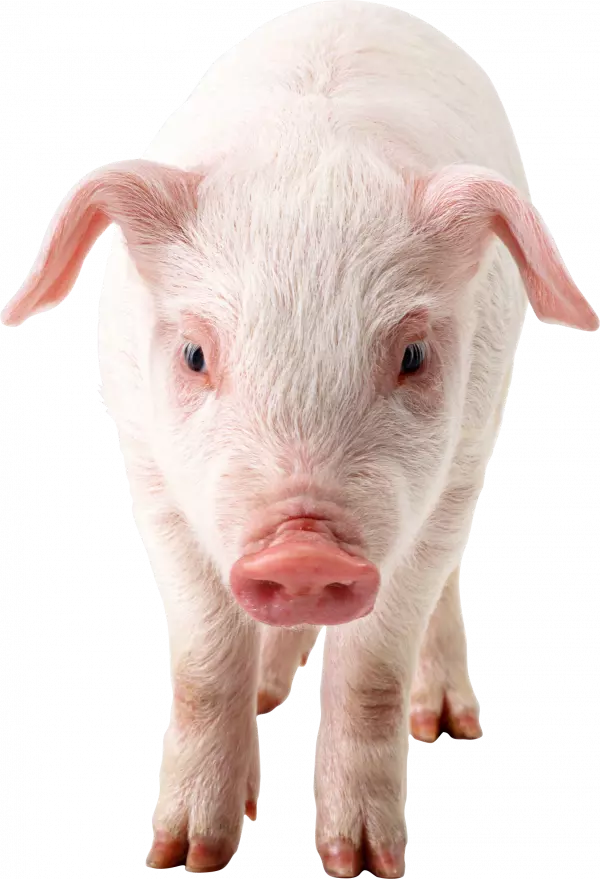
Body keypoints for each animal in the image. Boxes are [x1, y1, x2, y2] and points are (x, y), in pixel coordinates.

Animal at [2, 1, 597, 876]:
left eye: (413, 355)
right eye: (194, 353)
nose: (304, 551)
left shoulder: (448, 477)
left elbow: (373, 669)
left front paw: (362, 863)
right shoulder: (148, 470)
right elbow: (204, 662)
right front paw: (186, 857)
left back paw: (445, 724)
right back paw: (266, 696)